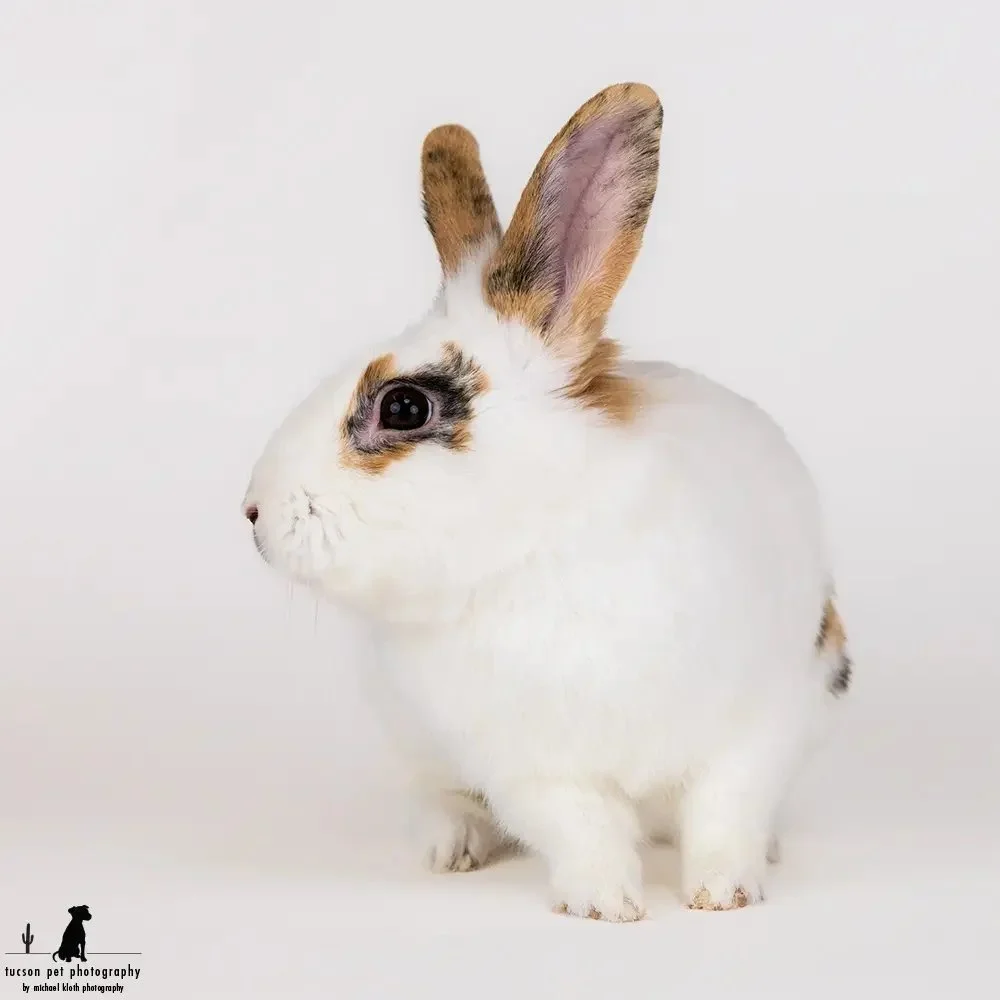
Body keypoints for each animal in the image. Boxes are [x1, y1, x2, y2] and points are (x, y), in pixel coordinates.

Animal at [243, 82, 852, 922]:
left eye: (404, 407)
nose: (254, 512)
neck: (542, 543)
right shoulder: (529, 765)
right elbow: (580, 828)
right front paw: (608, 904)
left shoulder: (761, 721)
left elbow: (726, 811)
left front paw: (723, 892)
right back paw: (451, 850)